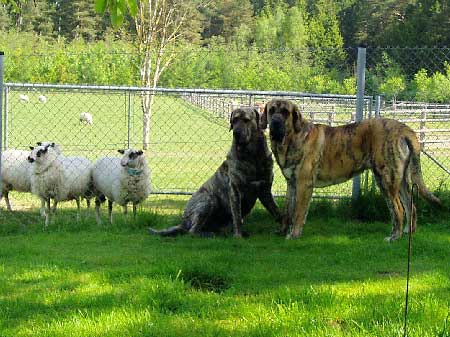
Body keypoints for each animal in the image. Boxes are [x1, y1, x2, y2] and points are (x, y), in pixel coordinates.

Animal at [149, 107, 282, 236]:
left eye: (246, 120)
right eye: (234, 120)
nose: (236, 133)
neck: (253, 155)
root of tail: (183, 222)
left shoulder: (265, 190)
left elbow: (277, 212)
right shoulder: (235, 190)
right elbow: (237, 217)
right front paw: (238, 236)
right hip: (208, 199)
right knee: (192, 232)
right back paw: (208, 234)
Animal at [262, 98, 442, 240]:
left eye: (285, 112)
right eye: (271, 110)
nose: (275, 121)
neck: (290, 139)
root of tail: (404, 129)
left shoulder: (303, 184)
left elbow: (298, 212)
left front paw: (294, 234)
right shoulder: (291, 184)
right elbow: (287, 210)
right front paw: (282, 230)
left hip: (386, 180)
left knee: (397, 209)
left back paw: (394, 236)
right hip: (401, 181)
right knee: (410, 206)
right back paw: (407, 232)